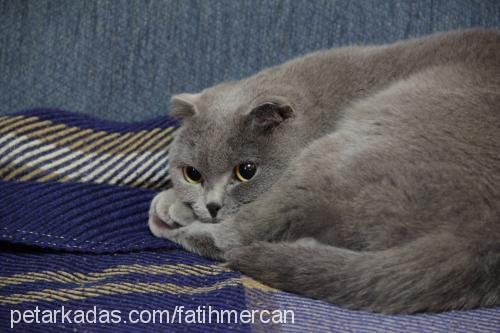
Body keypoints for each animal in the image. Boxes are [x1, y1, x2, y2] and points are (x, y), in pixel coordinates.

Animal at [146, 29, 500, 314]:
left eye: (246, 171)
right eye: (192, 174)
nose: (211, 206)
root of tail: (479, 236)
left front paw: (174, 210)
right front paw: (172, 200)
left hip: (338, 154)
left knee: (241, 235)